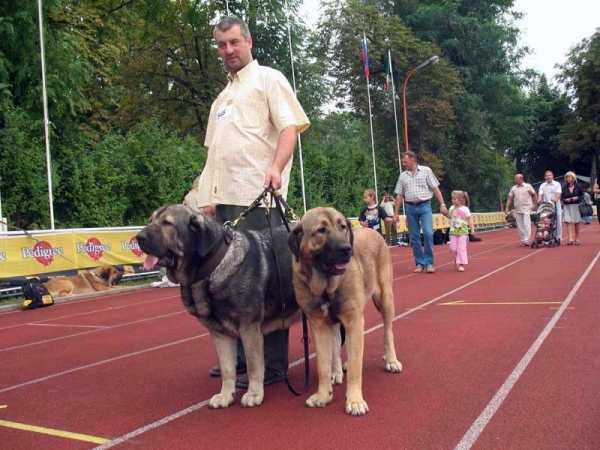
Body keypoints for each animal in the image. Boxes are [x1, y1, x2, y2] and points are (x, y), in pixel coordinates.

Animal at [138, 206, 302, 410]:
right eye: (150, 220)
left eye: (167, 223)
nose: (138, 237)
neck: (213, 266)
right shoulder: (219, 333)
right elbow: (227, 369)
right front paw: (225, 395)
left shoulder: (249, 329)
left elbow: (254, 366)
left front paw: (254, 394)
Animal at [288, 207, 404, 414]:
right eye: (321, 230)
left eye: (342, 226)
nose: (346, 249)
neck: (326, 285)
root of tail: (374, 232)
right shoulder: (319, 326)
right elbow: (323, 365)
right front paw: (323, 395)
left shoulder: (353, 320)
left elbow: (356, 367)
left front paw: (355, 401)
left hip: (385, 298)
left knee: (387, 331)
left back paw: (391, 360)